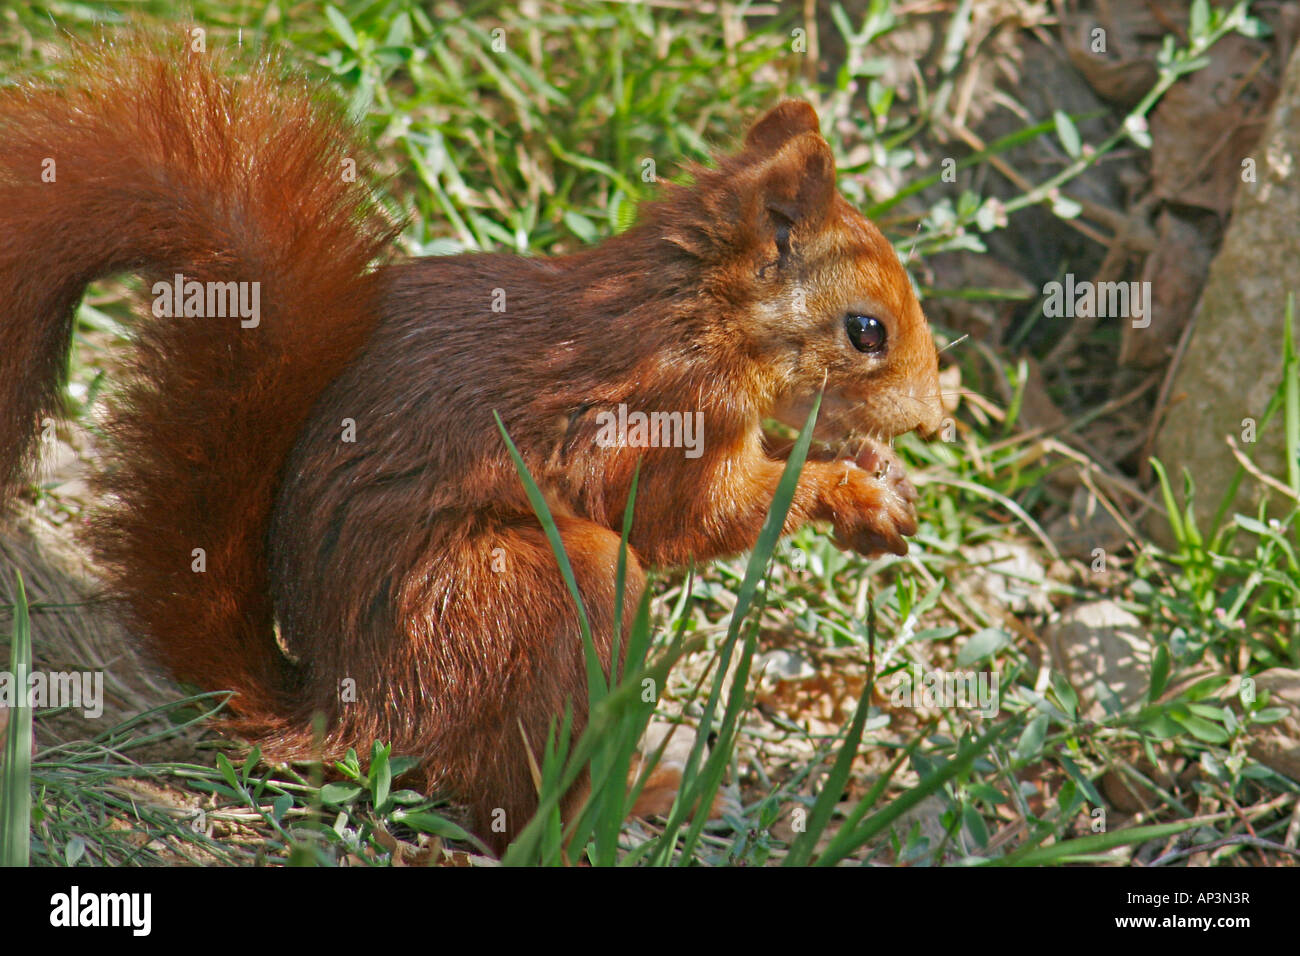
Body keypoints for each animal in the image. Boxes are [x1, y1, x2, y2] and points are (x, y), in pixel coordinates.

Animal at [0, 33, 941, 853]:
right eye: (867, 330)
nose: (933, 417)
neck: (697, 312)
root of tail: (344, 715)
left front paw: (879, 473)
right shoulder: (664, 413)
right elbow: (691, 520)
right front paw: (850, 492)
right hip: (521, 601)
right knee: (504, 792)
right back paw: (583, 827)